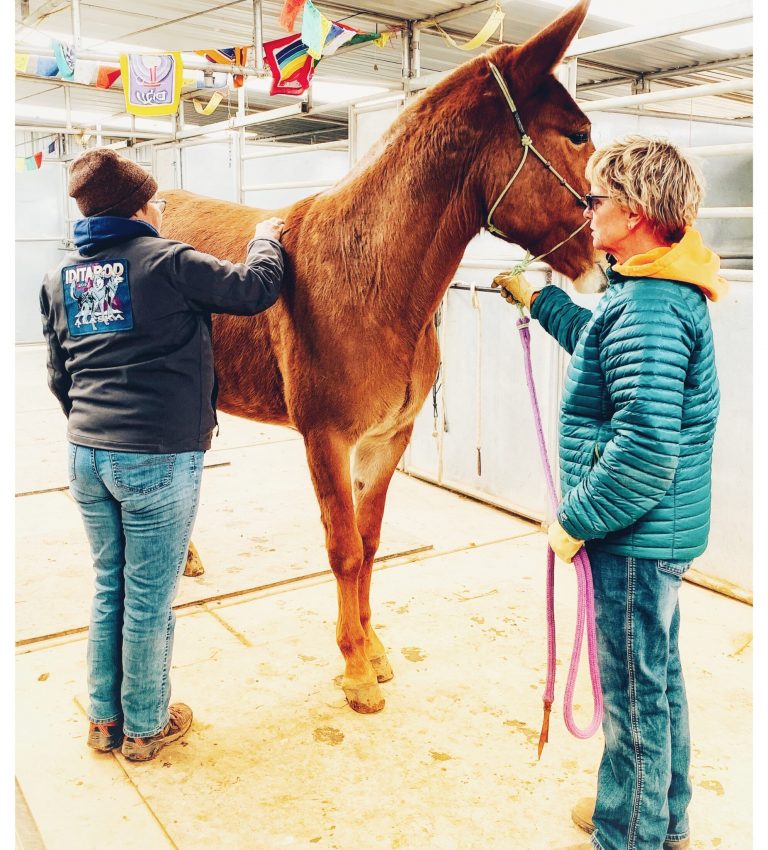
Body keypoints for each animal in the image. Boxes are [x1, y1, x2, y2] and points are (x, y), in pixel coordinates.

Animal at [162, 0, 596, 712]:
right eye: (579, 134)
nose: (603, 260)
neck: (368, 275)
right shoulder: (326, 438)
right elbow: (342, 548)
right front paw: (356, 674)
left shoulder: (387, 439)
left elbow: (368, 545)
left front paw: (375, 651)